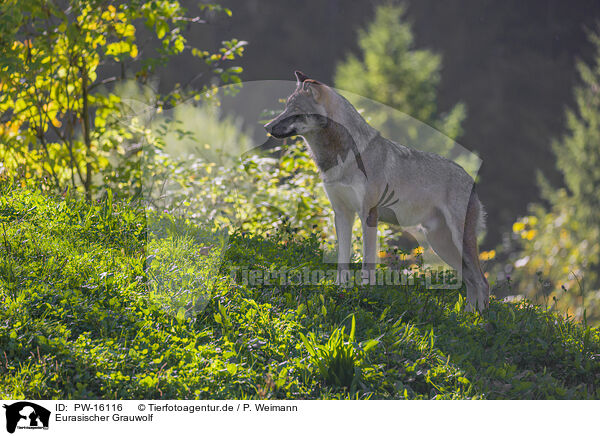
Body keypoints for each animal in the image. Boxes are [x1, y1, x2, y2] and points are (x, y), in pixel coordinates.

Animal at [264, 70, 490, 310]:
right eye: (285, 108)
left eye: (295, 111)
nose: (267, 127)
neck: (341, 159)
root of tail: (471, 180)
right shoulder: (342, 214)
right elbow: (342, 261)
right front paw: (340, 289)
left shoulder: (368, 215)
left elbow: (367, 264)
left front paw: (365, 293)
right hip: (440, 244)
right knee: (471, 282)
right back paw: (468, 315)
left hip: (458, 241)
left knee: (482, 282)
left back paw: (478, 318)